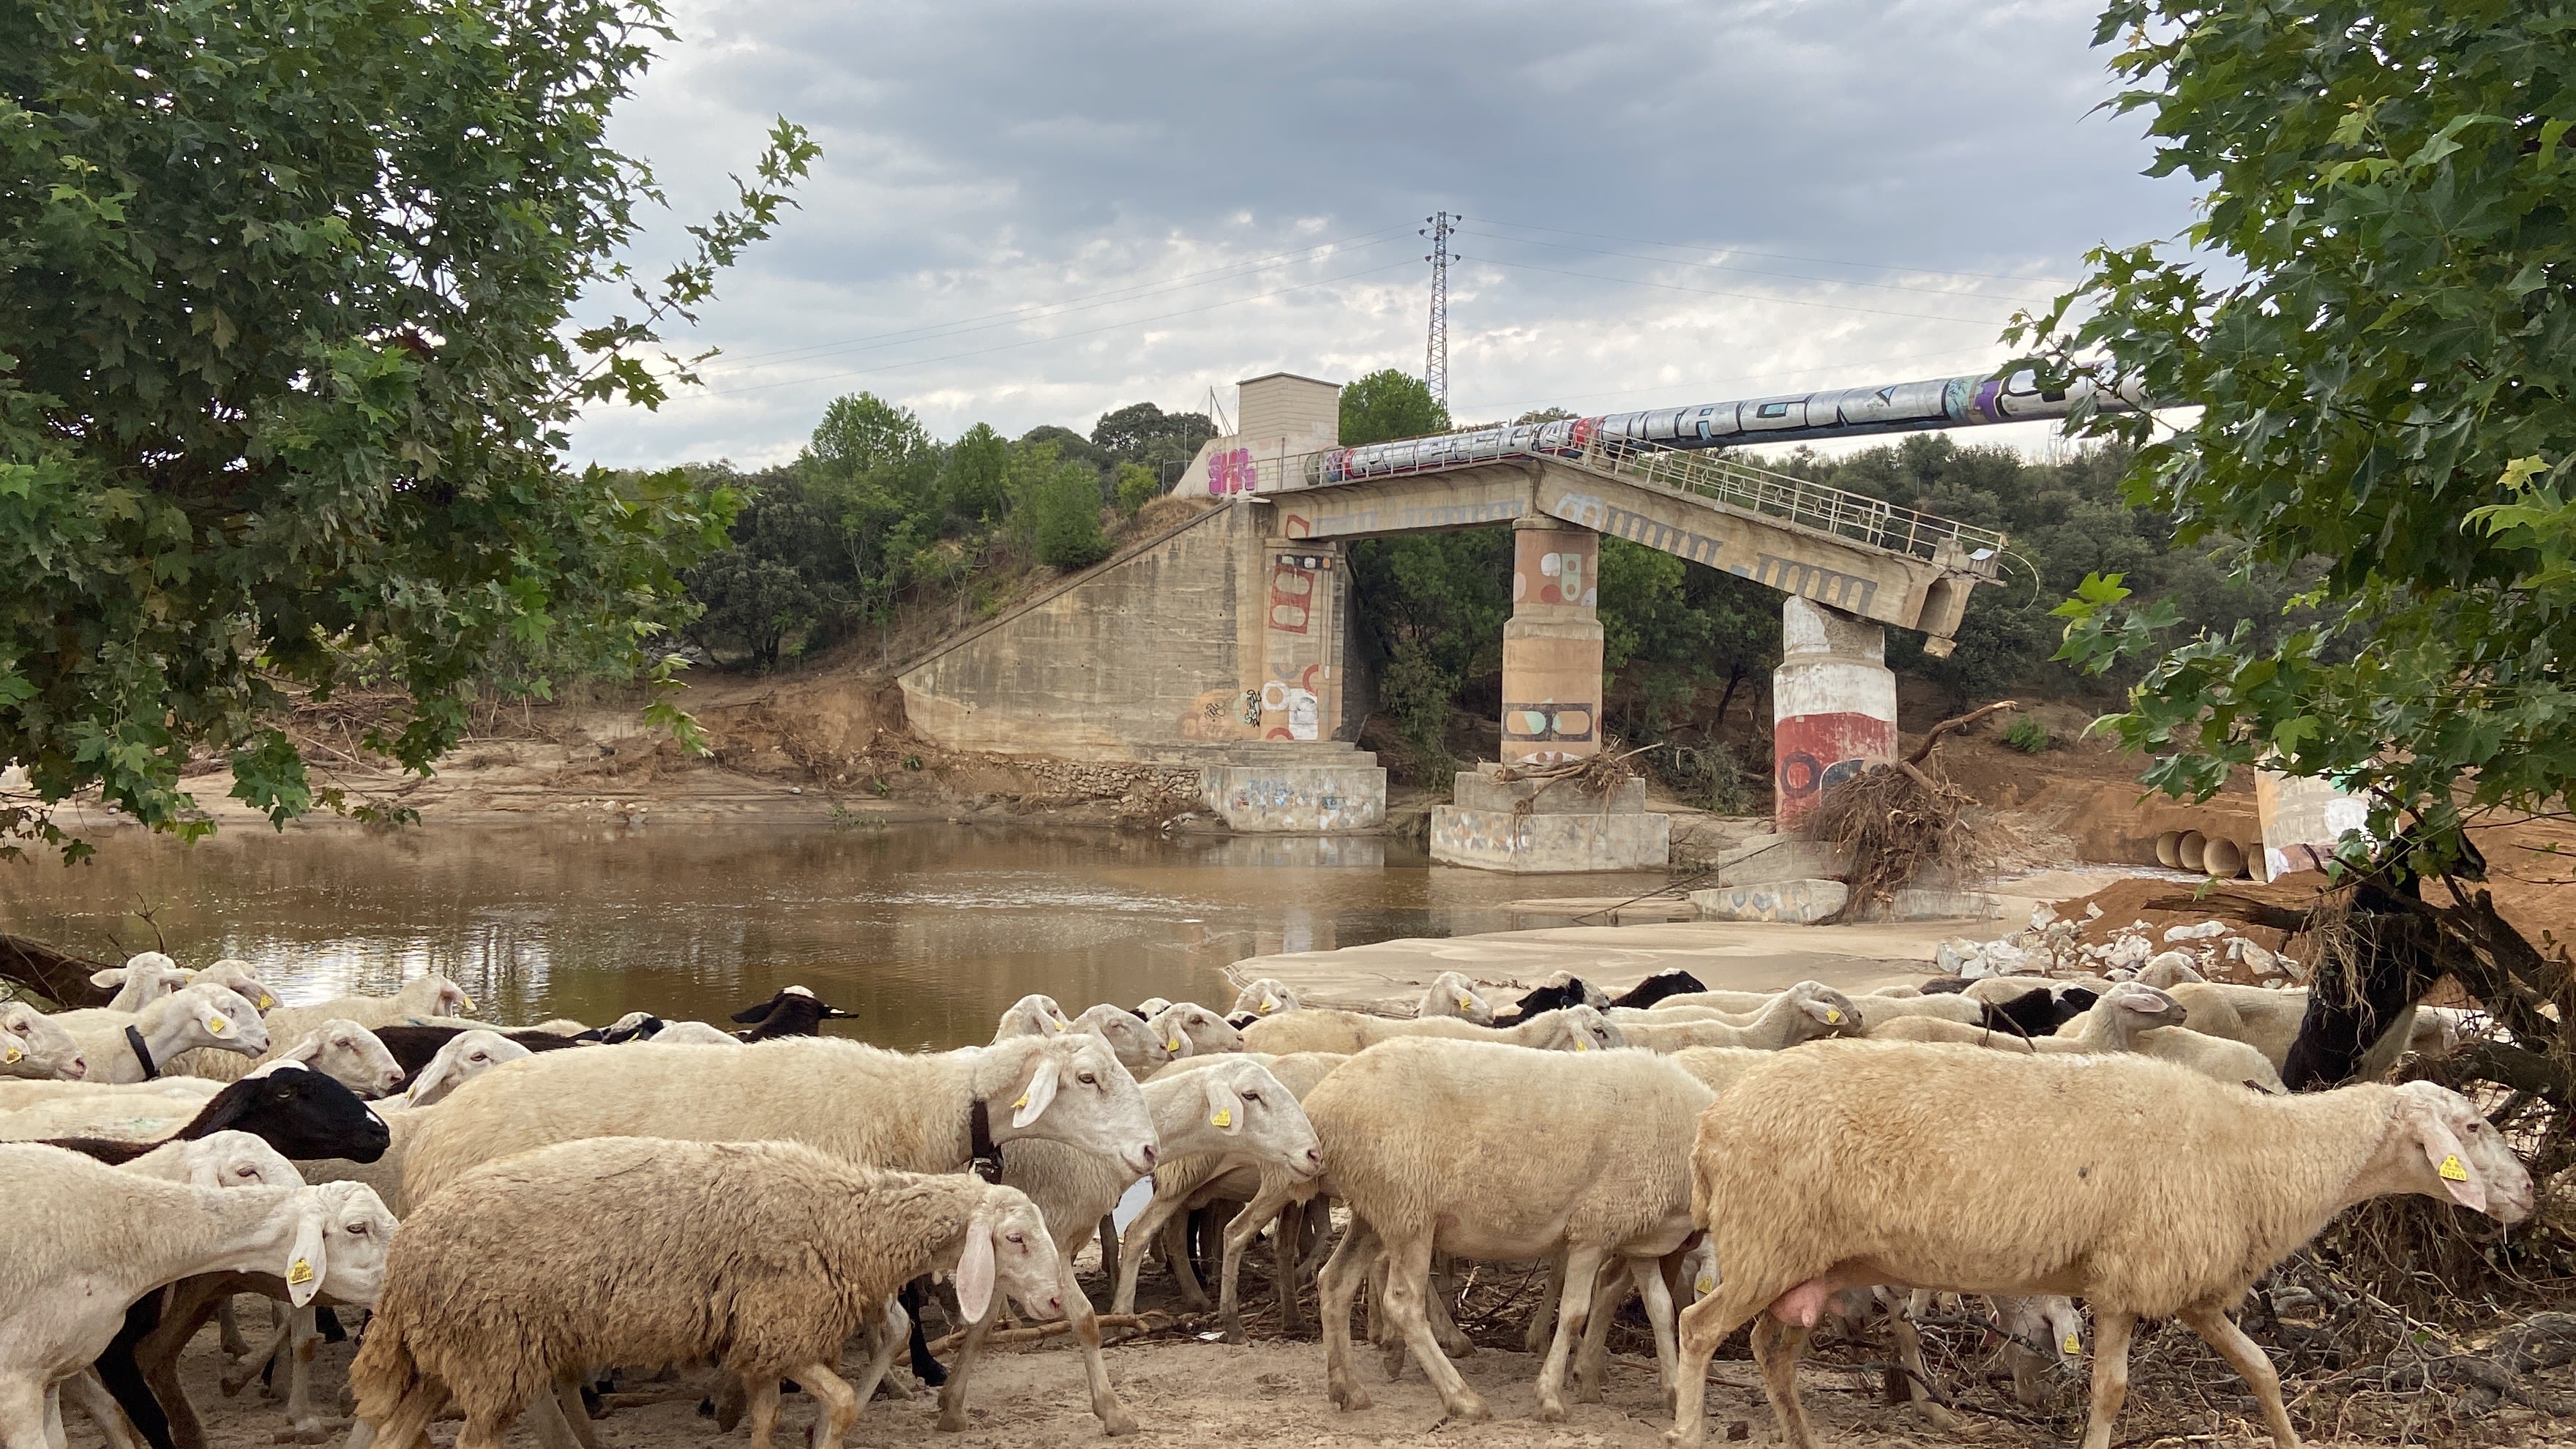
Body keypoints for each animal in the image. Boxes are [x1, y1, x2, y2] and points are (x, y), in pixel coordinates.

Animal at [348, 1134, 1061, 1443]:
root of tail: (405, 1255)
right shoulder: (783, 1327)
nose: (1056, 1301)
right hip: (493, 1350)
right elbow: (841, 1405)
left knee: (395, 1436)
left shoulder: (765, 1343)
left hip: (449, 1355)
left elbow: (770, 1414)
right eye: (1015, 1238)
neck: (848, 1218)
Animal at [1308, 1031, 1710, 1412]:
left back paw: (1348, 1390)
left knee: (1335, 1282)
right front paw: (1550, 1397)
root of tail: (1321, 1103)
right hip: (1409, 1211)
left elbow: (1661, 1309)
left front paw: (1674, 1391)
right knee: (1404, 1305)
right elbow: (1574, 1313)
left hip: (1375, 1209)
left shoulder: (1640, 1237)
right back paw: (1462, 1399)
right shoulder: (1593, 1229)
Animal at [1648, 1036, 2534, 1443]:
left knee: (1771, 1352)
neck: (2264, 1152)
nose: (2526, 1194)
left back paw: (1801, 1438)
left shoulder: (2186, 1288)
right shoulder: (2131, 1281)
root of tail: (1711, 1126)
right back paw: (1686, 1429)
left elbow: (2262, 1369)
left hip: (1812, 1261)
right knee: (1700, 1329)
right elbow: (2111, 1390)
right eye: (2472, 1126)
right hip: (1768, 1240)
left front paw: (2291, 1440)